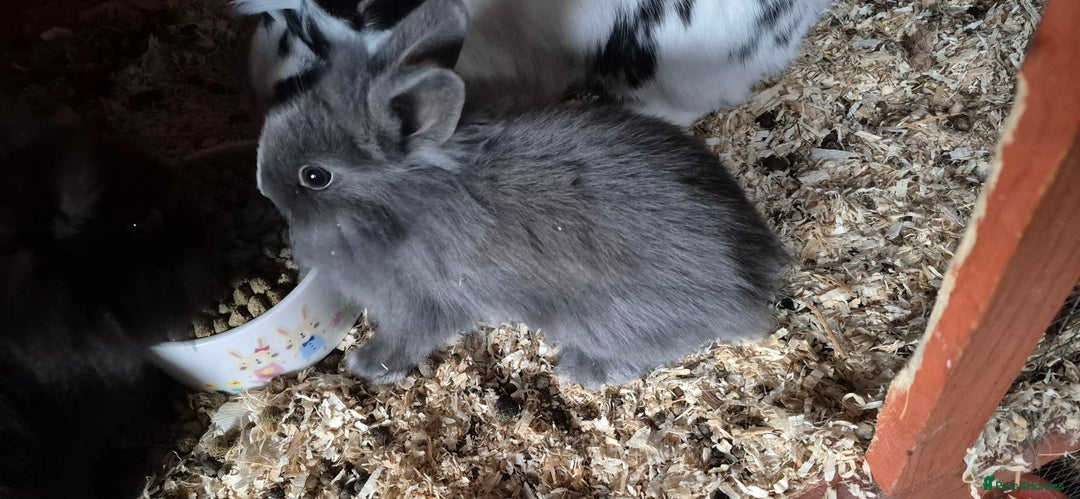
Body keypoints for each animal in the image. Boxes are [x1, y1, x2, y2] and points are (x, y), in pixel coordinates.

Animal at [253, 0, 789, 389]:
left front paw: (366, 366)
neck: (400, 201)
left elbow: (406, 339)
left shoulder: (420, 304)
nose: (261, 182)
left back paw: (583, 370)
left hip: (601, 319)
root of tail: (752, 277)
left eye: (315, 176)